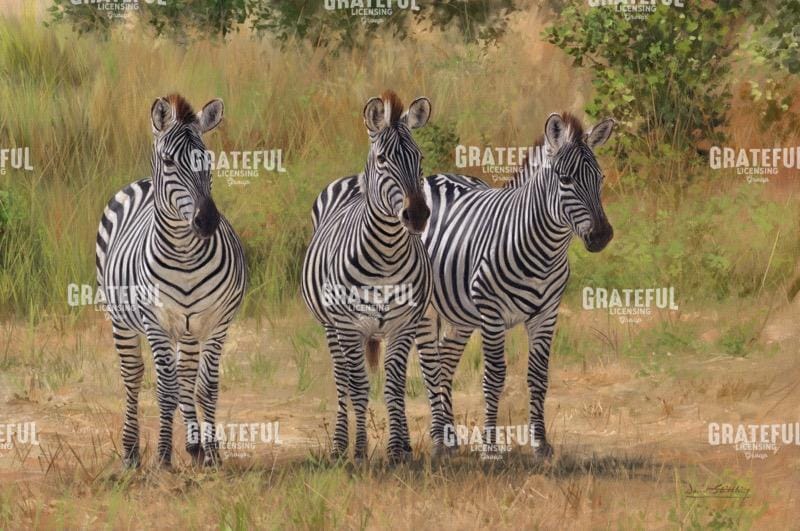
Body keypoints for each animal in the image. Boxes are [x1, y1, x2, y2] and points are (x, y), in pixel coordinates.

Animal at [95, 94, 247, 468]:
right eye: (167, 160)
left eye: (207, 159)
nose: (207, 221)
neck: (185, 255)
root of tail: (143, 181)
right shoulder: (156, 322)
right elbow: (165, 388)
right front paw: (163, 457)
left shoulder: (217, 322)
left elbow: (204, 387)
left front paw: (212, 453)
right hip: (121, 321)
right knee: (133, 377)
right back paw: (131, 452)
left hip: (190, 329)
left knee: (186, 377)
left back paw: (194, 447)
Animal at [301, 91, 433, 462]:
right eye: (383, 159)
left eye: (419, 157)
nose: (418, 215)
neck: (386, 255)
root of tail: (350, 180)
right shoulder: (348, 326)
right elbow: (358, 387)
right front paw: (359, 450)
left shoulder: (404, 325)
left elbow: (394, 386)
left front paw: (398, 450)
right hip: (332, 327)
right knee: (342, 380)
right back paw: (339, 446)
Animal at [416, 112, 615, 457]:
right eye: (566, 180)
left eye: (600, 178)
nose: (602, 236)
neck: (544, 250)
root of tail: (436, 177)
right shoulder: (492, 313)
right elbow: (494, 377)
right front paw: (490, 447)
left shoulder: (546, 314)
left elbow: (538, 376)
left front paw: (541, 444)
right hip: (428, 307)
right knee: (430, 366)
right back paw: (439, 442)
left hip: (459, 313)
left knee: (445, 362)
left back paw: (450, 439)